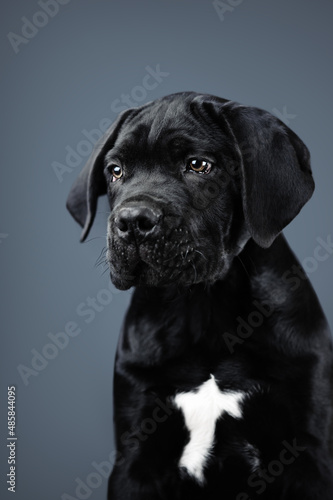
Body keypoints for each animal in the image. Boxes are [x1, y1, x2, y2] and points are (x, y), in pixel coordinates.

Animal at [65, 92, 332, 498]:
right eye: (115, 170)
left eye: (199, 165)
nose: (132, 221)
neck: (203, 306)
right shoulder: (135, 458)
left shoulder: (309, 456)